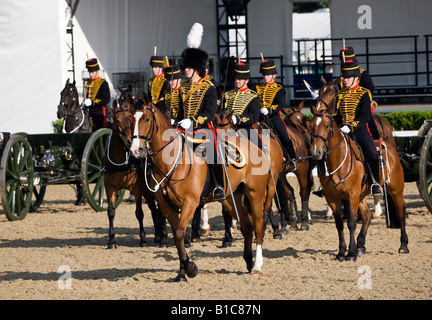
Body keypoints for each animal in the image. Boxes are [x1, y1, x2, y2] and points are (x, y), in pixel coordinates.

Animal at [102, 91, 168, 249]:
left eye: (130, 120)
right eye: (117, 120)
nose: (129, 142)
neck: (120, 161)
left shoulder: (137, 188)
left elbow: (139, 213)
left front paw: (143, 238)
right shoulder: (109, 187)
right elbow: (111, 212)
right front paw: (111, 240)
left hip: (148, 190)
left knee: (155, 209)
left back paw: (160, 236)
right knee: (154, 209)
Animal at [125, 94, 282, 280]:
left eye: (147, 119)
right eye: (130, 120)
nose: (136, 150)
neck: (173, 160)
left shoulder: (190, 202)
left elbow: (180, 233)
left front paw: (190, 268)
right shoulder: (166, 206)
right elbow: (177, 237)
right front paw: (182, 272)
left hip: (255, 194)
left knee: (258, 226)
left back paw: (257, 265)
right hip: (231, 198)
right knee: (247, 226)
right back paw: (248, 261)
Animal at [308, 82, 406, 260]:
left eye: (326, 126)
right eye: (311, 126)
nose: (316, 152)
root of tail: (390, 146)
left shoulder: (352, 195)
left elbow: (352, 222)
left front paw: (351, 253)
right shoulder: (333, 198)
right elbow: (339, 224)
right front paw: (342, 251)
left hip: (395, 190)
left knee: (401, 212)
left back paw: (403, 245)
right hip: (362, 194)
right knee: (367, 215)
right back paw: (361, 245)